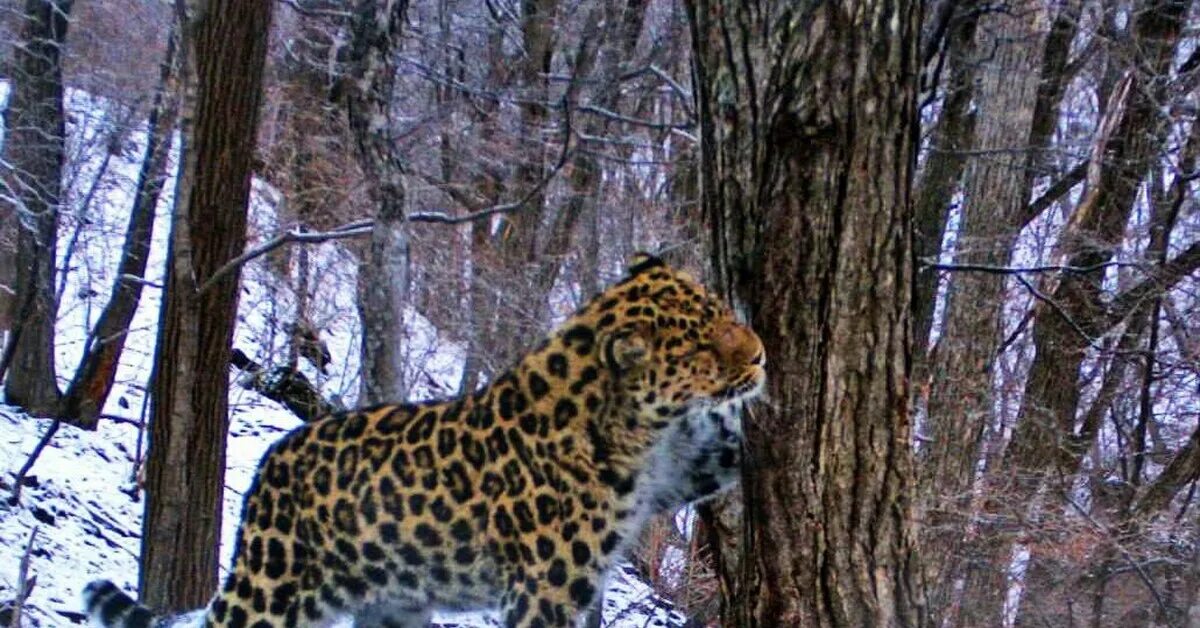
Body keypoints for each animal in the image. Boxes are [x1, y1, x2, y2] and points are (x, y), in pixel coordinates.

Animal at [84, 253, 763, 624]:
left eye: (721, 308)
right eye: (703, 348)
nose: (758, 353)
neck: (635, 427)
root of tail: (268, 466)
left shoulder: (681, 468)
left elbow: (729, 447)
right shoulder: (544, 590)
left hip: (392, 609)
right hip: (271, 587)